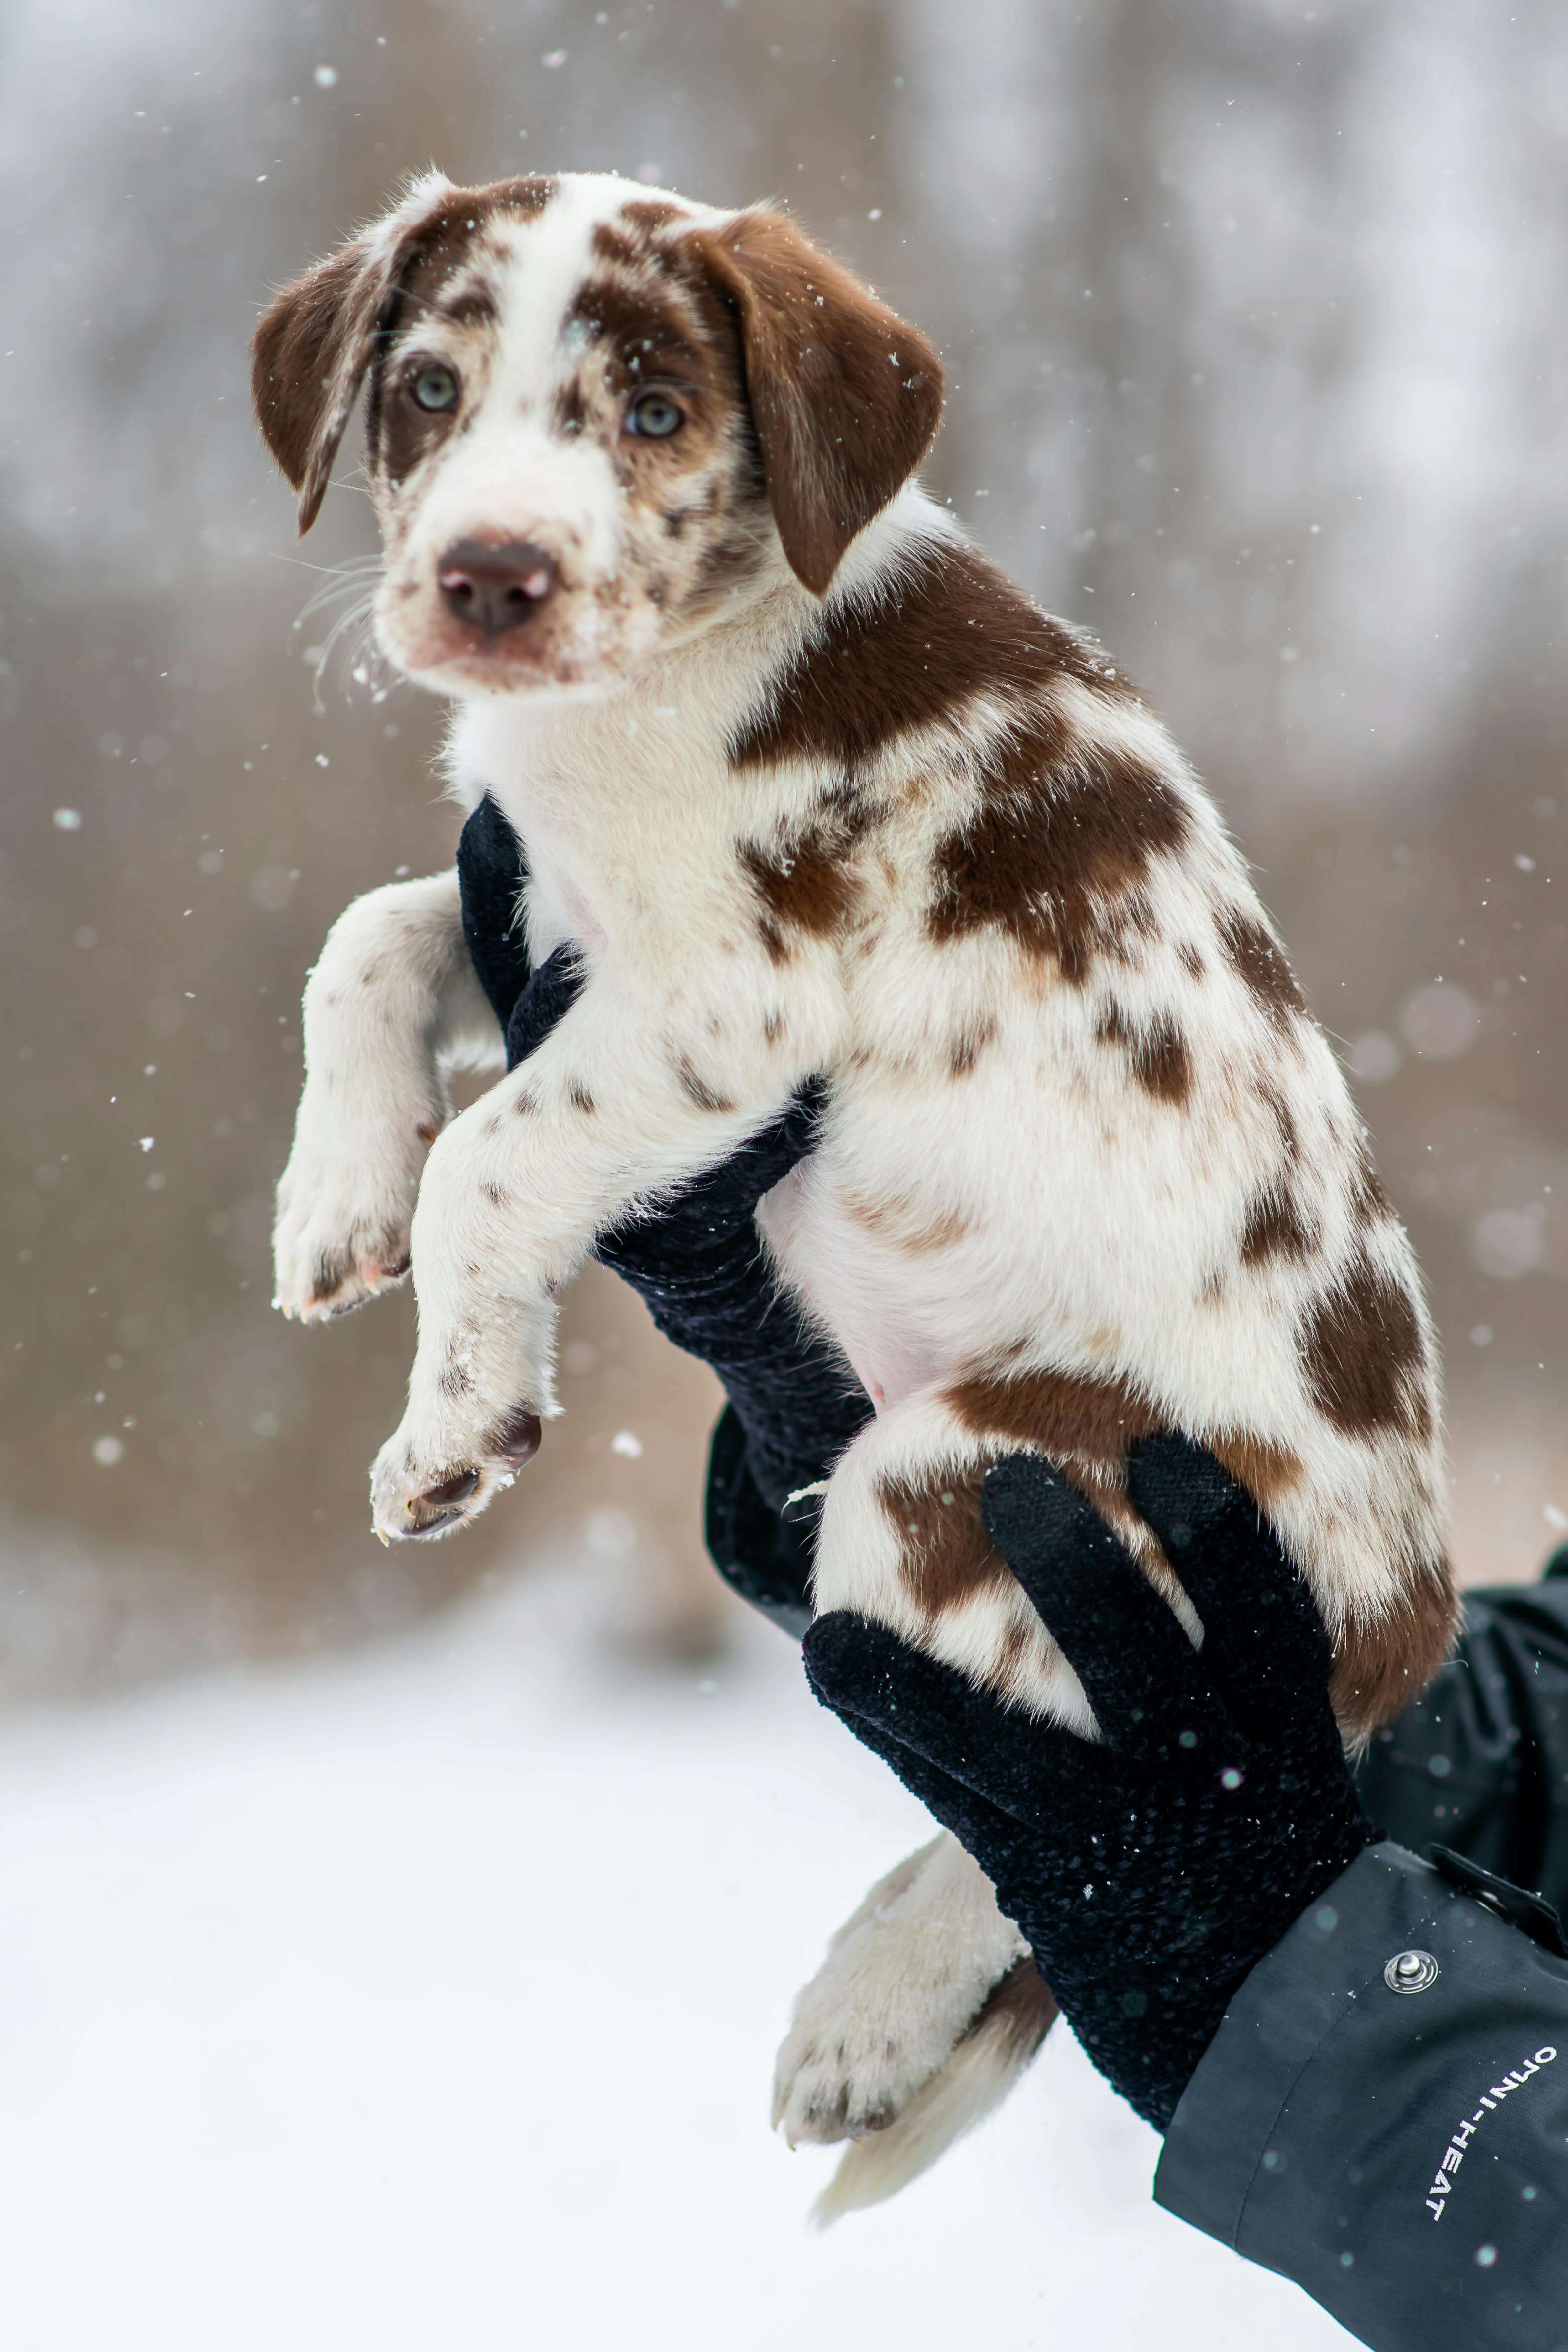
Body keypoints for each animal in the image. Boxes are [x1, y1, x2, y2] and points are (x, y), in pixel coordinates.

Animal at [255, 174, 1457, 2211]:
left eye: (656, 413)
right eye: (425, 389)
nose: (490, 577)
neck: (650, 685)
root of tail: (1403, 1627)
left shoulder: (720, 1006)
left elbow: (491, 1158)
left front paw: (457, 1415)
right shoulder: (543, 915)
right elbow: (377, 937)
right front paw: (337, 1192)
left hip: (968, 1480)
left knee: (1059, 1827)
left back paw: (873, 2009)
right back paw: (856, 2005)